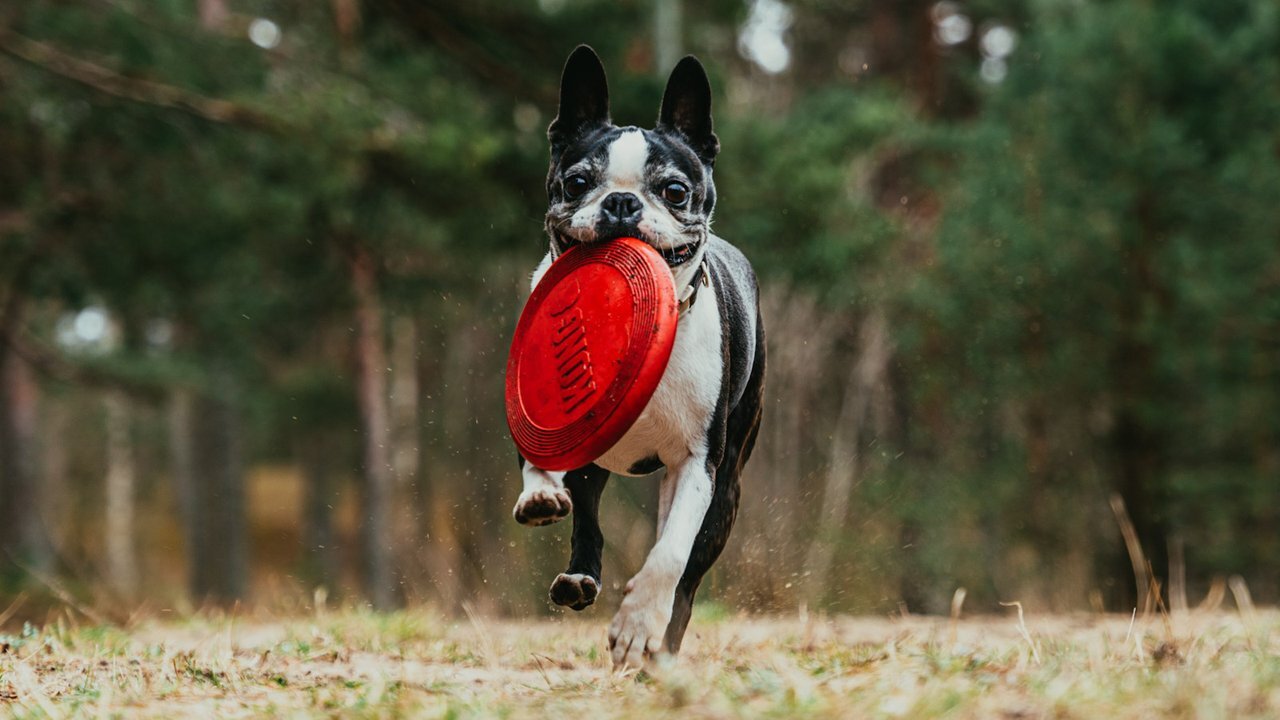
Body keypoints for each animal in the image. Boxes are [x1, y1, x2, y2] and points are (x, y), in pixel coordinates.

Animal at [512, 46, 768, 666]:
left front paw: (637, 625)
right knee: (587, 518)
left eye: (674, 191)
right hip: (595, 462)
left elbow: (670, 553)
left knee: (690, 574)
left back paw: (662, 647)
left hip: (728, 489)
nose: (622, 202)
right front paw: (538, 492)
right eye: (577, 182)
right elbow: (537, 456)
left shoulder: (699, 464)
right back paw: (578, 578)